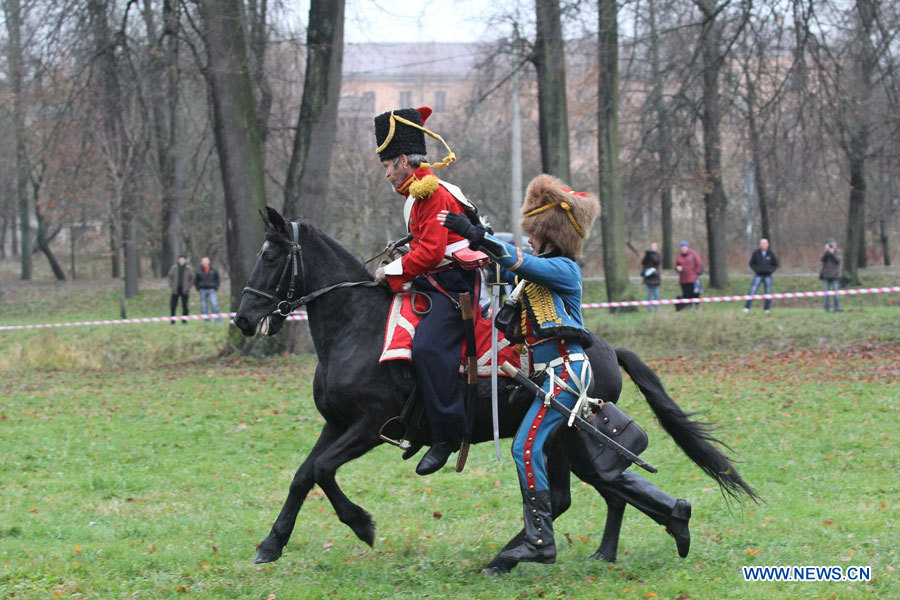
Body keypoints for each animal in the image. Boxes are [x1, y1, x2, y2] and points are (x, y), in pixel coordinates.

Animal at [234, 209, 760, 576]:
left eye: (270, 256)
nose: (242, 318)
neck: (356, 326)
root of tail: (606, 350)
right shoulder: (337, 425)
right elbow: (303, 476)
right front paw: (271, 544)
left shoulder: (367, 427)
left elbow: (321, 470)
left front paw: (362, 524)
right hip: (570, 443)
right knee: (605, 489)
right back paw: (618, 544)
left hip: (567, 437)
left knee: (584, 492)